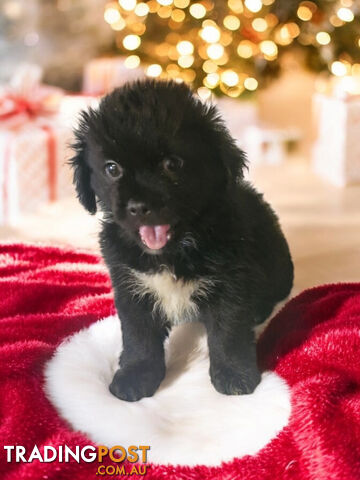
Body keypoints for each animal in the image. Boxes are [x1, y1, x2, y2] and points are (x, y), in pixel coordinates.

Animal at [70, 79, 292, 402]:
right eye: (112, 168)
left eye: (172, 164)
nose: (139, 206)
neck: (171, 252)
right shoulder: (131, 288)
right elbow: (138, 338)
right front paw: (135, 375)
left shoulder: (231, 285)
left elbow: (228, 333)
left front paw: (234, 375)